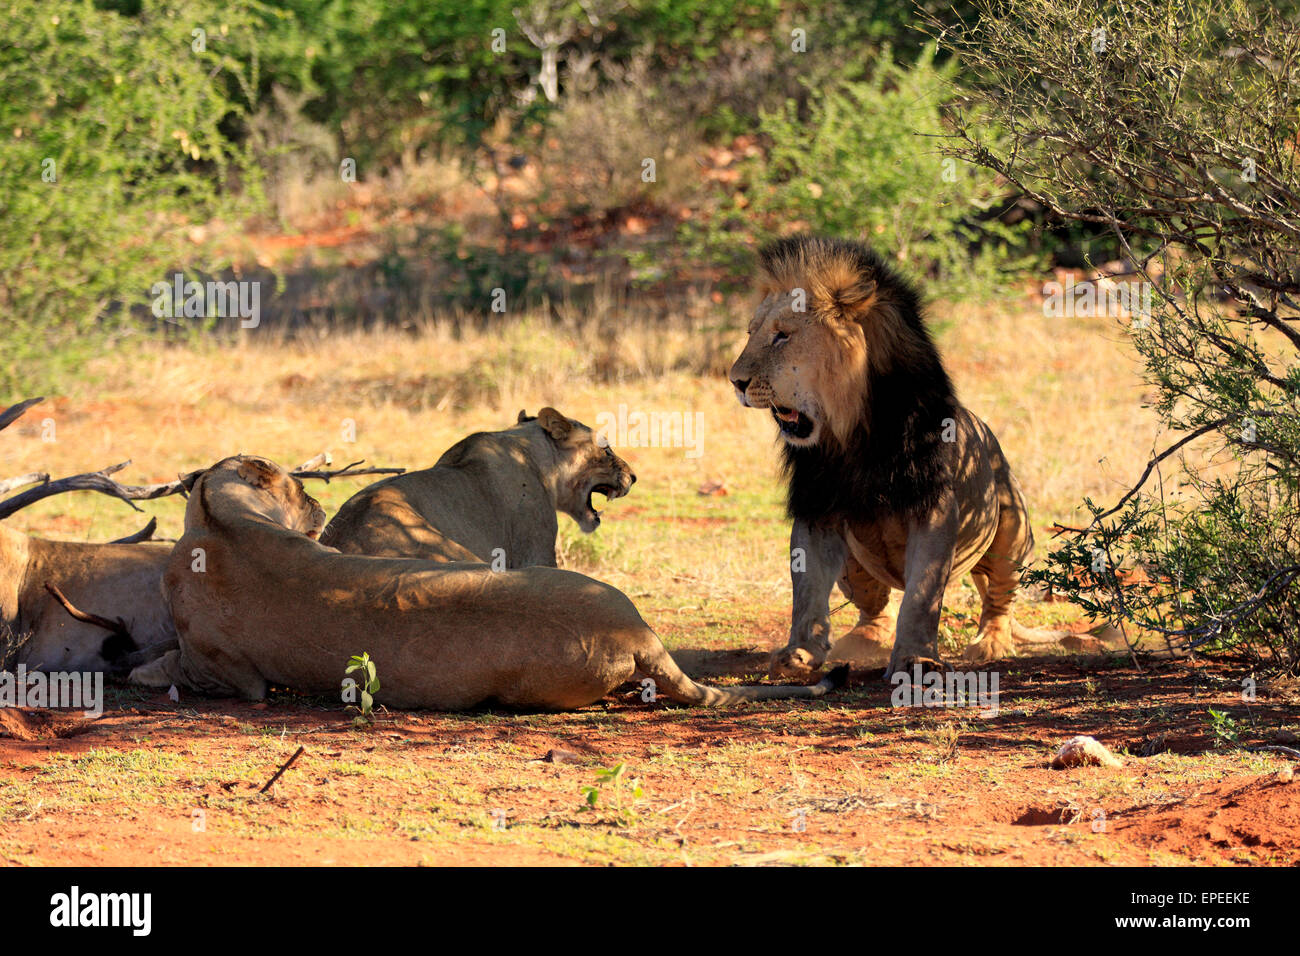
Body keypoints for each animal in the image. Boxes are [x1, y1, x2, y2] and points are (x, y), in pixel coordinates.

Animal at [131, 455, 842, 712]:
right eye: (297, 487)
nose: (314, 504)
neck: (221, 516)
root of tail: (638, 632)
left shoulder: (224, 670)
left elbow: (168, 665)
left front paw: (139, 668)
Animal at [733, 234, 1066, 676]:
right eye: (751, 332)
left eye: (783, 335)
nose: (735, 381)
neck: (854, 433)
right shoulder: (817, 507)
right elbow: (806, 590)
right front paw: (800, 652)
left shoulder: (934, 508)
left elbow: (922, 595)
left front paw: (915, 658)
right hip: (856, 565)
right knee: (877, 606)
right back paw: (861, 642)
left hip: (1011, 530)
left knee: (998, 601)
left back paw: (990, 643)